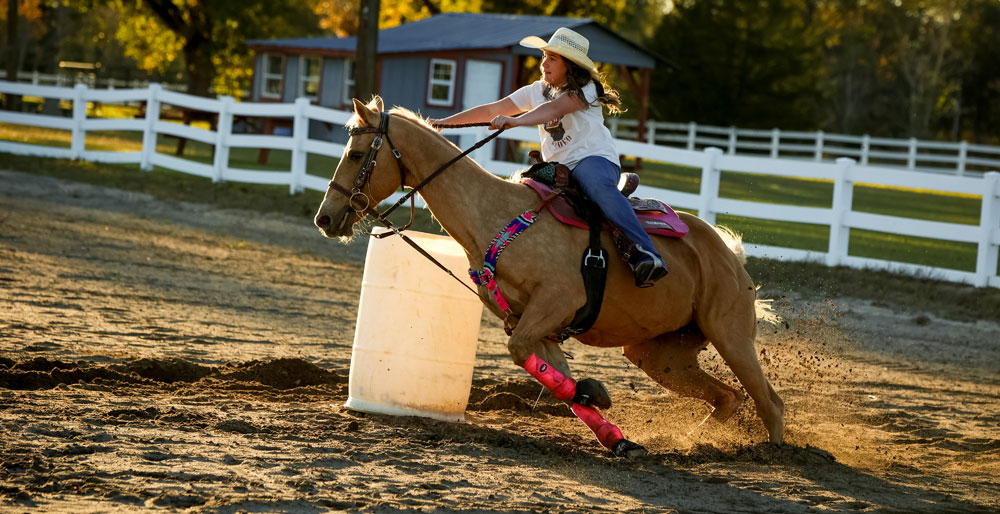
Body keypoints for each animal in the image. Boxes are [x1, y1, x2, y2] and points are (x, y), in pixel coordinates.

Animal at [316, 98, 784, 454]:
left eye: (356, 155)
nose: (325, 218)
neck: (494, 216)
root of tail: (730, 255)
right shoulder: (534, 323)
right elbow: (552, 374)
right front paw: (609, 424)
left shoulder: (556, 302)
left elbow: (521, 354)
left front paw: (596, 399)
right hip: (661, 355)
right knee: (728, 397)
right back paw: (693, 441)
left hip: (730, 335)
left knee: (769, 402)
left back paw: (774, 453)